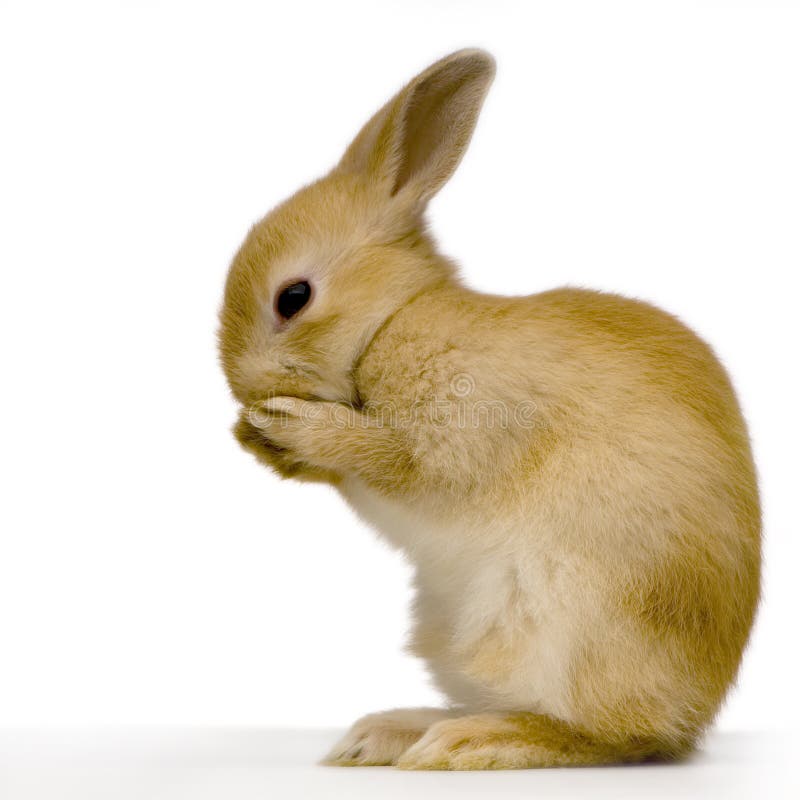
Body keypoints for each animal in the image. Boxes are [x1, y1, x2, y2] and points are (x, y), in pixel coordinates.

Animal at [219, 48, 764, 768]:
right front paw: (257, 436)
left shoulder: (454, 439)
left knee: (610, 734)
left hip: (569, 623)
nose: (243, 390)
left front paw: (292, 427)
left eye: (293, 297)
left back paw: (466, 743)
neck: (392, 319)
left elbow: (393, 463)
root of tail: (697, 714)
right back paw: (385, 735)